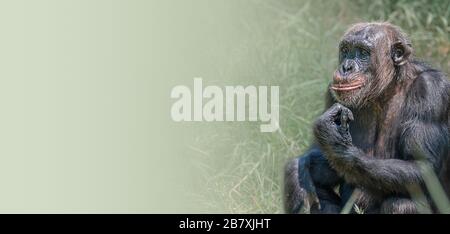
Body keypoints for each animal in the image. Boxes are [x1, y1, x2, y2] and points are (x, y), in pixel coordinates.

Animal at [284, 22, 450, 214]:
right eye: (346, 50)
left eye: (363, 52)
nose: (346, 67)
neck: (386, 89)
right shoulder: (331, 94)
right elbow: (313, 157)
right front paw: (307, 164)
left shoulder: (431, 90)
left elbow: (424, 167)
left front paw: (335, 142)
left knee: (400, 204)